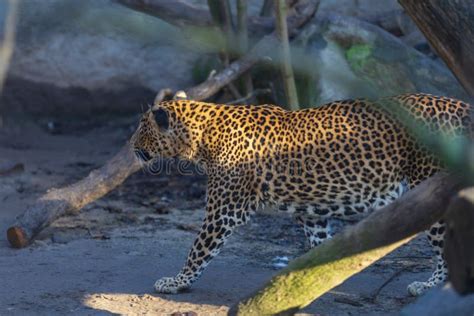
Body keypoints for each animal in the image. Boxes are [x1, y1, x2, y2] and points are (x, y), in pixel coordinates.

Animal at [131, 92, 472, 298]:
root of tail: (462, 106)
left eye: (141, 127)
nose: (131, 145)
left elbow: (198, 251)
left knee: (446, 249)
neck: (202, 134)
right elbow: (320, 248)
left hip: (432, 189)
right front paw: (315, 282)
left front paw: (176, 282)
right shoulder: (311, 213)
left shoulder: (223, 212)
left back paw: (429, 286)